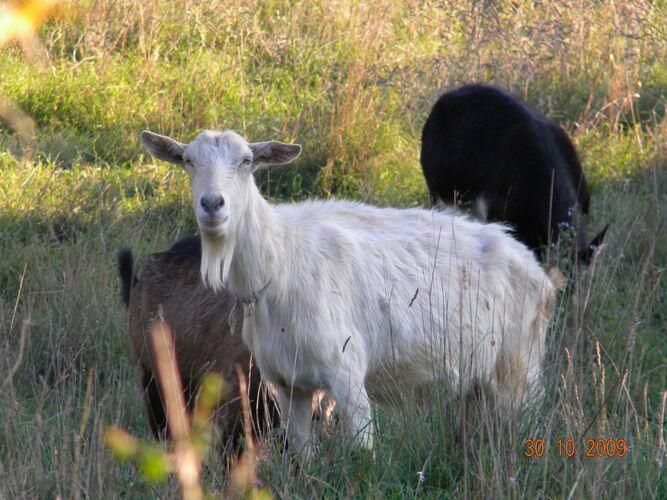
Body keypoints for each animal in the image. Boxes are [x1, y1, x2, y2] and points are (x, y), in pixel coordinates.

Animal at [142, 129, 560, 454]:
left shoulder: (347, 374)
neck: (280, 260)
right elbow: (302, 454)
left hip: (521, 365)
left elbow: (363, 455)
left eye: (247, 161)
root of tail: (535, 267)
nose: (212, 205)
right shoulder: (286, 385)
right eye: (188, 161)